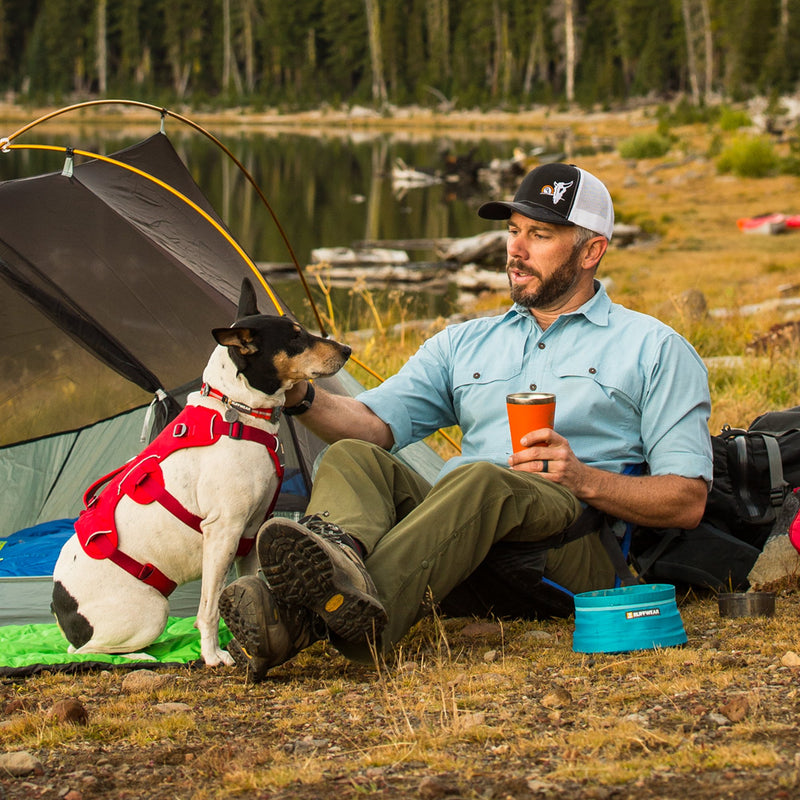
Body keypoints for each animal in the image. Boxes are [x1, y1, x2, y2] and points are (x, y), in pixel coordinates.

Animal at [50, 278, 350, 664]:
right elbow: (208, 607)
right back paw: (142, 657)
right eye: (296, 338)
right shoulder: (223, 531)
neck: (239, 411)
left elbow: (245, 587)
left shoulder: (250, 534)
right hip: (153, 612)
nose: (347, 349)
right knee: (87, 650)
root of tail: (61, 609)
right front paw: (213, 654)